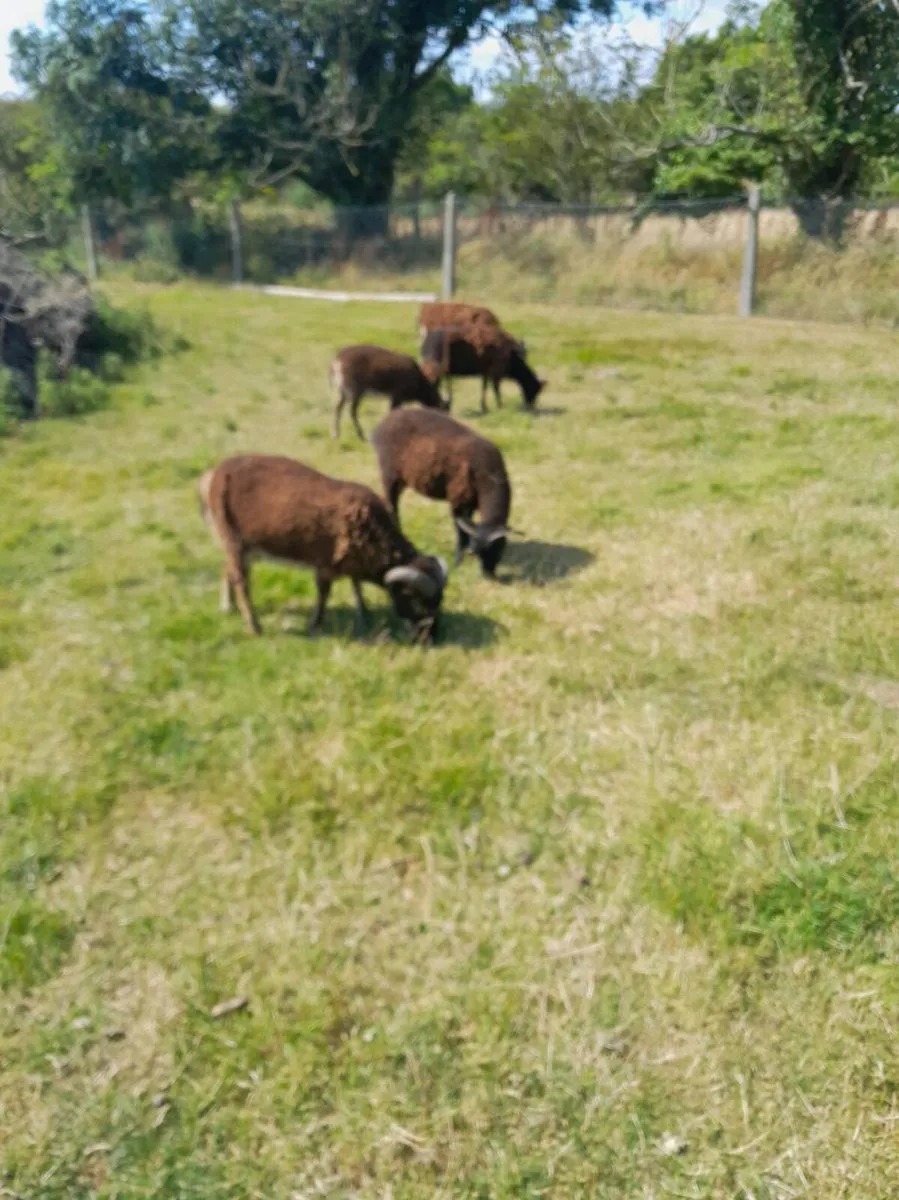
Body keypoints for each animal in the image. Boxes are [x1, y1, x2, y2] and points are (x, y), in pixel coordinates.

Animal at [199, 454, 448, 643]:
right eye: (416, 600)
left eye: (439, 601)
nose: (430, 638)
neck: (370, 525)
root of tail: (213, 476)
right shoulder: (325, 566)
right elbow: (324, 594)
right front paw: (315, 625)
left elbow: (356, 586)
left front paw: (364, 613)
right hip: (235, 543)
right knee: (242, 583)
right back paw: (254, 627)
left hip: (241, 548)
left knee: (228, 571)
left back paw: (227, 607)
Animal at [372, 407, 516, 578]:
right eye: (481, 553)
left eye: (499, 549)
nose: (488, 575)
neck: (488, 480)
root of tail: (385, 421)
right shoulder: (458, 498)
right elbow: (460, 530)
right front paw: (458, 560)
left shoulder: (470, 502)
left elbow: (467, 525)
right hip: (389, 474)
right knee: (392, 507)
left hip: (401, 479)